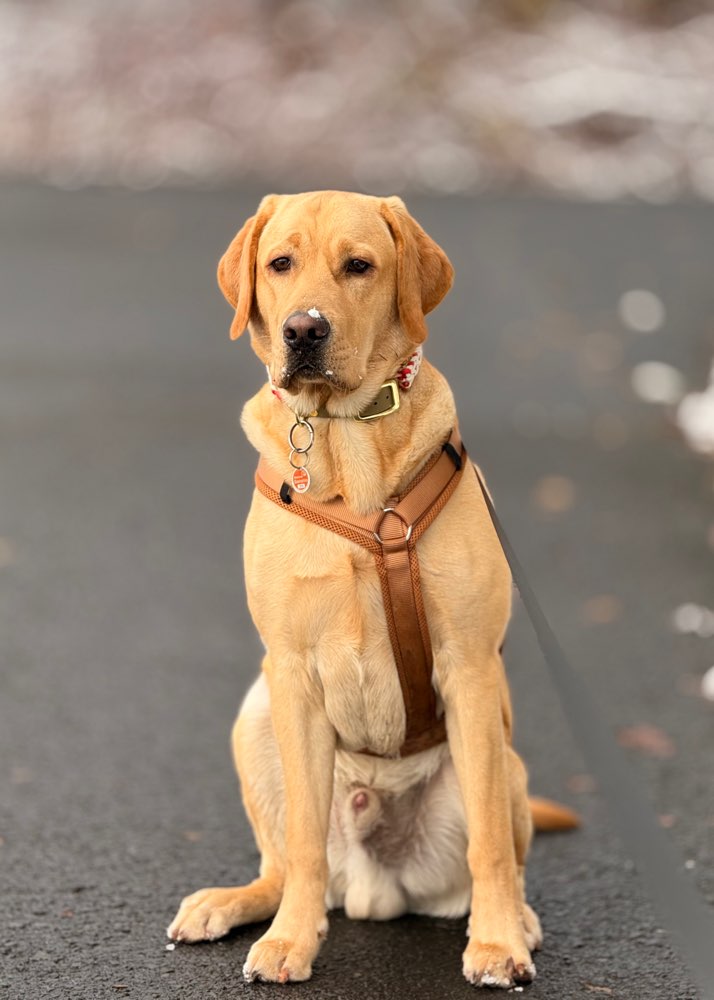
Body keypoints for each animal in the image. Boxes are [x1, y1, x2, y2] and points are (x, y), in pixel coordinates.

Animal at [167, 191, 572, 988]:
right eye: (280, 264)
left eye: (359, 266)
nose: (303, 330)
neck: (346, 446)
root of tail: (373, 887)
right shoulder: (291, 672)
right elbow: (299, 843)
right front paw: (292, 943)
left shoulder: (470, 668)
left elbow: (488, 843)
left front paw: (497, 942)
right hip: (255, 716)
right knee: (288, 865)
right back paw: (233, 904)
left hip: (504, 761)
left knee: (499, 853)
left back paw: (518, 921)